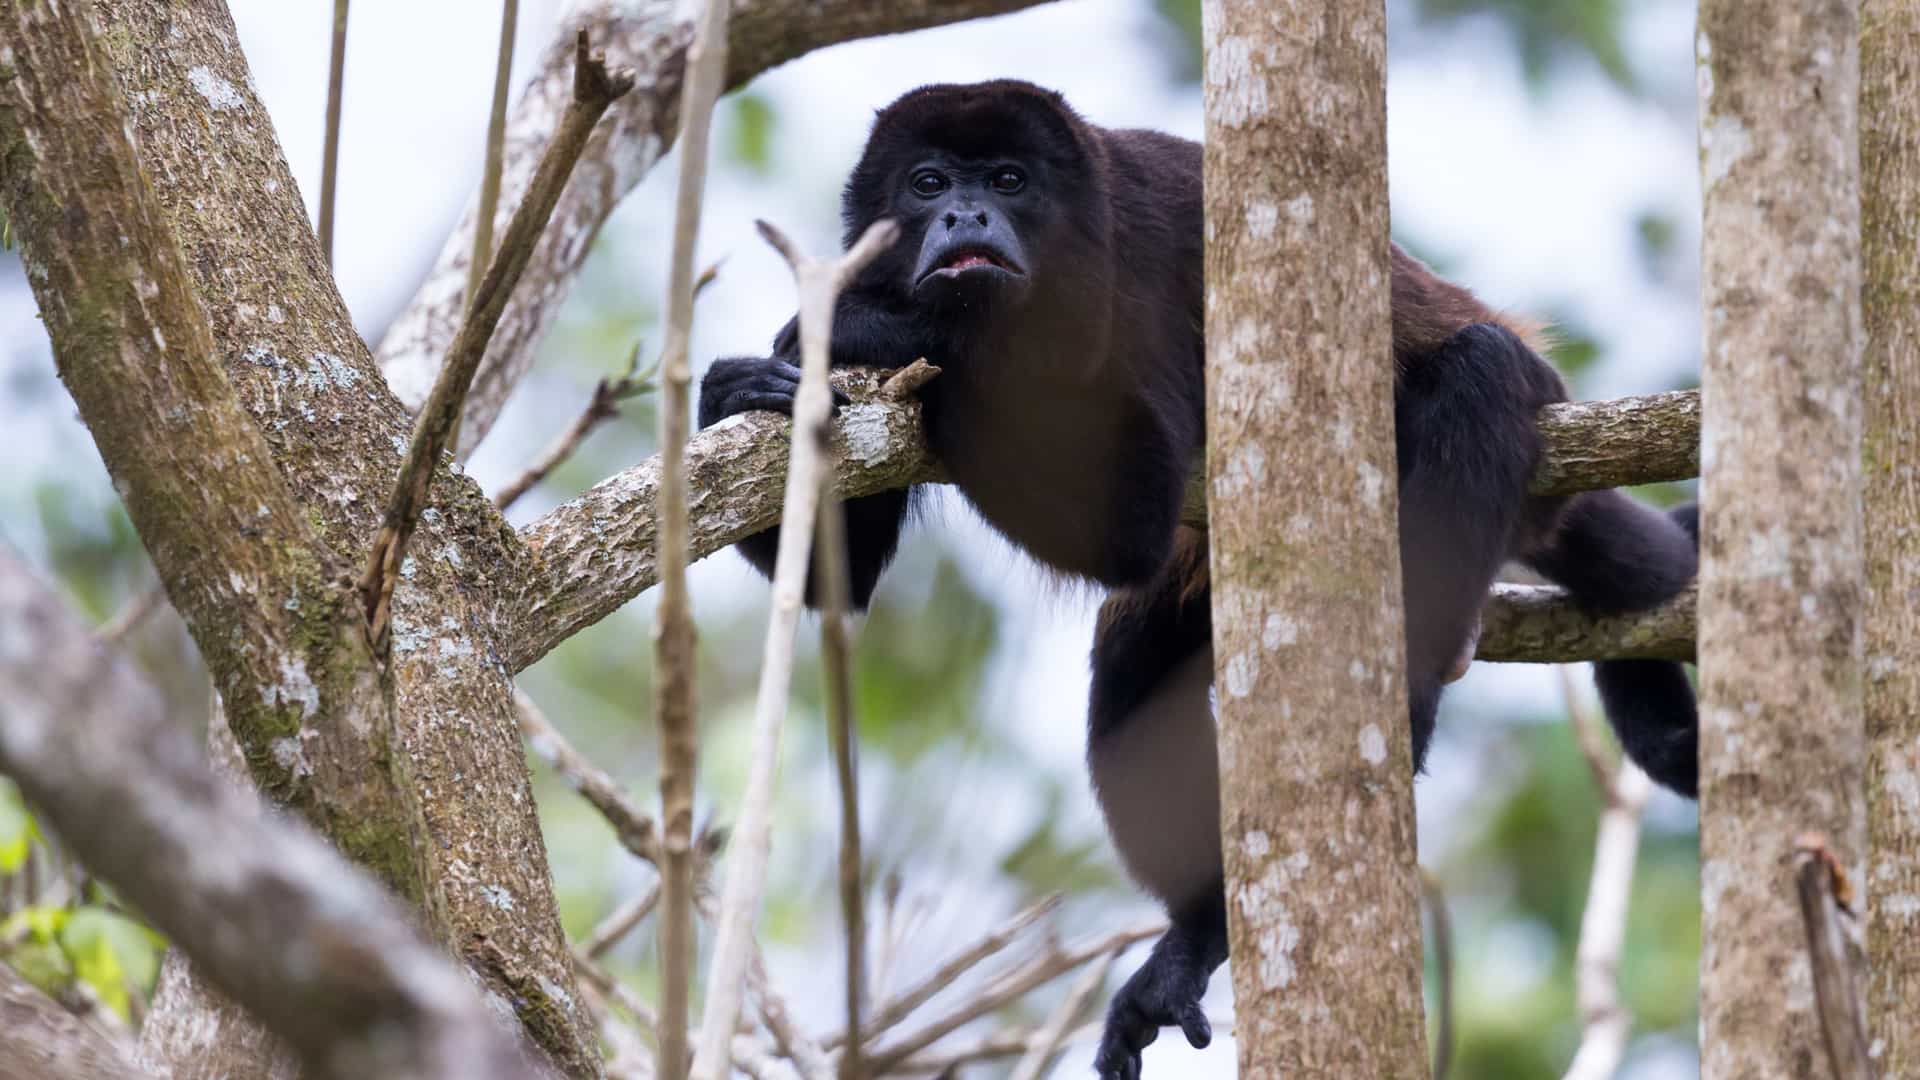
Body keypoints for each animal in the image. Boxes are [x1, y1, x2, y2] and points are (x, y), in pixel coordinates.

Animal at [697, 81, 1699, 1080]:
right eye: (928, 182)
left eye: (1010, 181)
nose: (964, 215)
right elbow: (839, 586)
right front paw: (737, 389)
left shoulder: (1144, 265)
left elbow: (1129, 513)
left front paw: (890, 326)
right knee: (1130, 696)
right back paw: (1195, 934)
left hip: (1531, 419)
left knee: (1481, 371)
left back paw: (1407, 688)